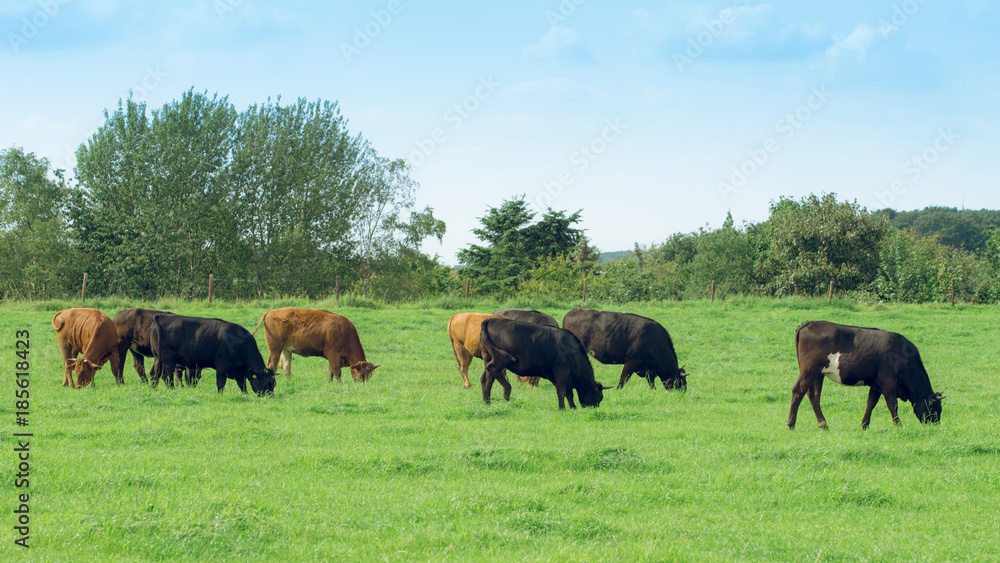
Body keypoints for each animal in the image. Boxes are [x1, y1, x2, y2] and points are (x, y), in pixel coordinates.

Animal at [148, 312, 276, 396]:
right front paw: (220, 395)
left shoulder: (239, 371)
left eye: (274, 384)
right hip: (168, 359)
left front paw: (246, 395)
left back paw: (154, 390)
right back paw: (172, 390)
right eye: (268, 384)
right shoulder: (222, 365)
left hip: (158, 358)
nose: (270, 397)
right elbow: (221, 382)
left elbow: (242, 384)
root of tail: (162, 316)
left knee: (155, 375)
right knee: (167, 376)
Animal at [250, 308, 378, 384]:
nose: (362, 385)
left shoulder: (332, 357)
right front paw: (339, 385)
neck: (344, 332)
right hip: (275, 349)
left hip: (285, 350)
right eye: (361, 375)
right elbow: (336, 371)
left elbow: (331, 372)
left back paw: (289, 383)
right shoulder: (333, 354)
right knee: (273, 365)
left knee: (285, 367)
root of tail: (271, 311)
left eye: (369, 375)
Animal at [478, 318, 608, 410]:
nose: (595, 408)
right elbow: (562, 391)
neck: (574, 351)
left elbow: (569, 393)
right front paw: (562, 408)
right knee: (492, 368)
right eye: (599, 396)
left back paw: (487, 403)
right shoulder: (562, 371)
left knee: (486, 380)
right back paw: (507, 391)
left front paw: (573, 407)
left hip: (487, 357)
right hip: (501, 359)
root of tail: (489, 320)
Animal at [788, 322, 944, 432]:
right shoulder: (888, 383)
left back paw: (824, 424)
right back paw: (791, 424)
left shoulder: (876, 385)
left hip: (818, 375)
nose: (936, 426)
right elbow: (892, 404)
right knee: (798, 392)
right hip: (809, 371)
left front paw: (864, 425)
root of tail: (809, 323)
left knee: (814, 396)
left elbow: (871, 403)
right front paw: (898, 425)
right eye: (935, 409)